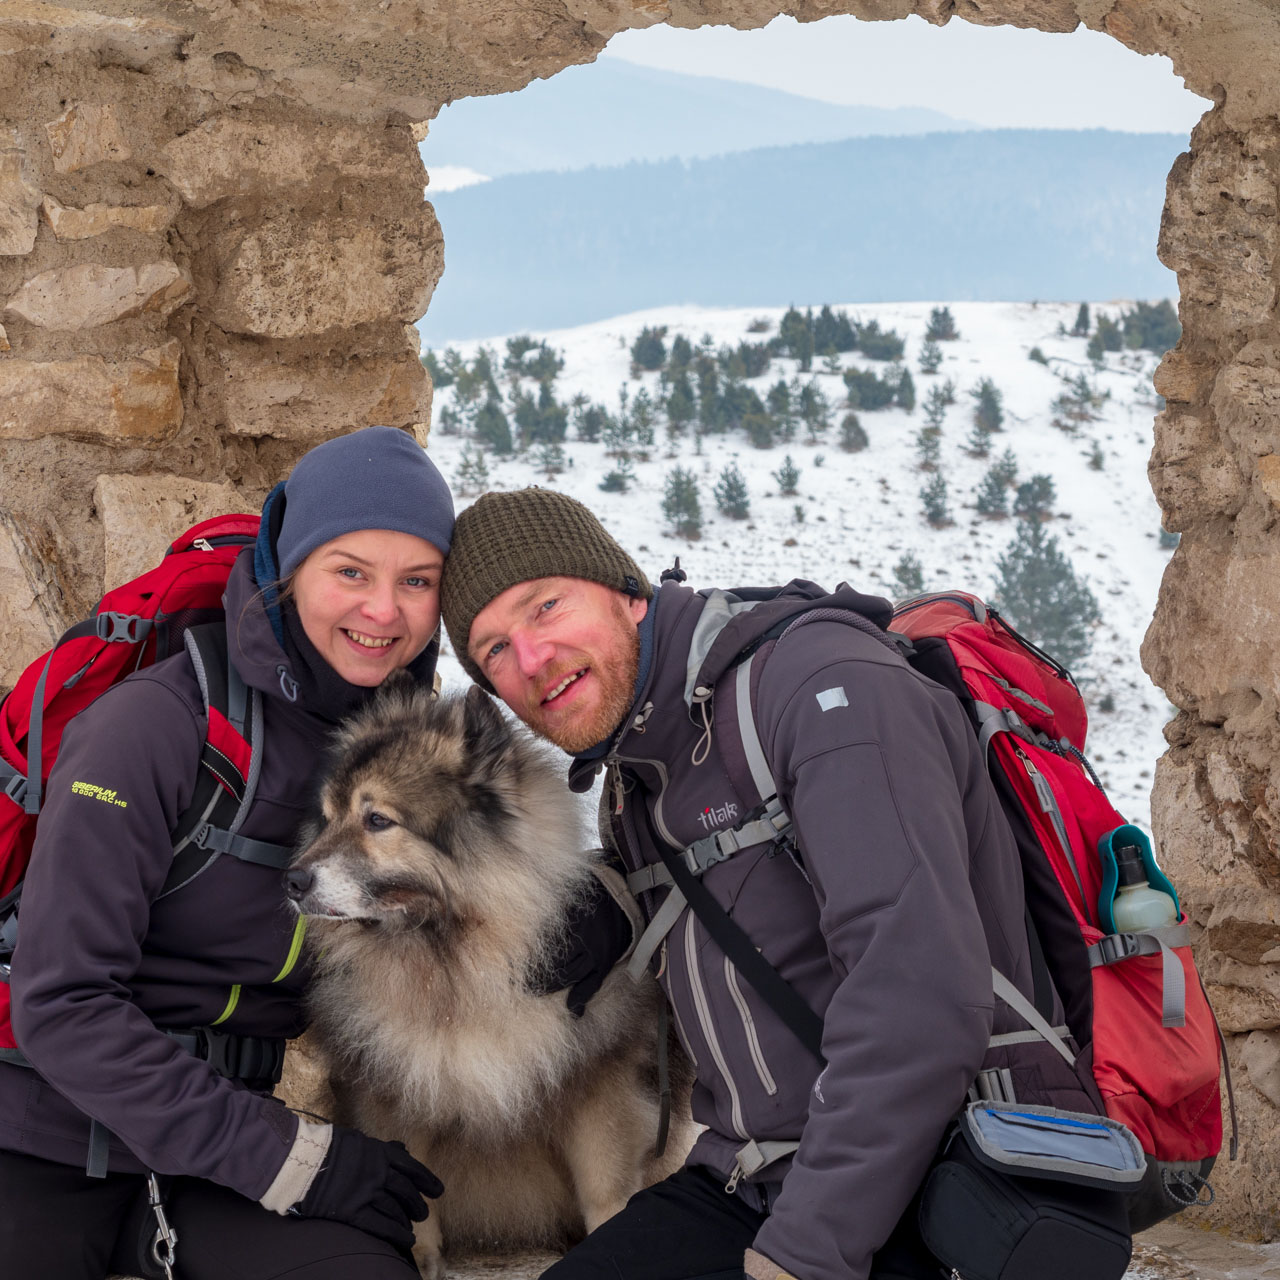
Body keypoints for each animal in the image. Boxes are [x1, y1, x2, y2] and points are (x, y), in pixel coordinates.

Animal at [284, 675, 686, 1274]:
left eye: (377, 820)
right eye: (328, 817)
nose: (291, 880)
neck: (459, 966)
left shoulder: (599, 1090)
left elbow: (604, 1189)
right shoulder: (397, 1093)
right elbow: (413, 1192)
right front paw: (421, 1258)